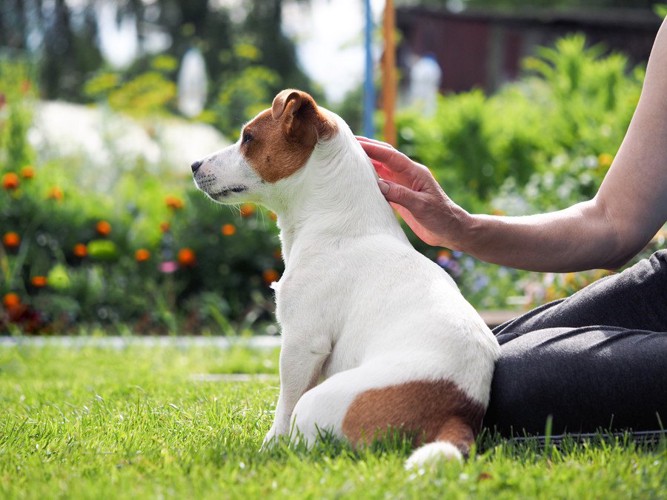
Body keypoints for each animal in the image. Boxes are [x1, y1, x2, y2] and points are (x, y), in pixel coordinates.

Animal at [190, 88, 498, 466]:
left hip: (319, 401)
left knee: (305, 438)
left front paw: (267, 448)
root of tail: (457, 414)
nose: (193, 165)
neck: (336, 224)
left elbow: (283, 406)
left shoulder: (302, 343)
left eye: (248, 138)